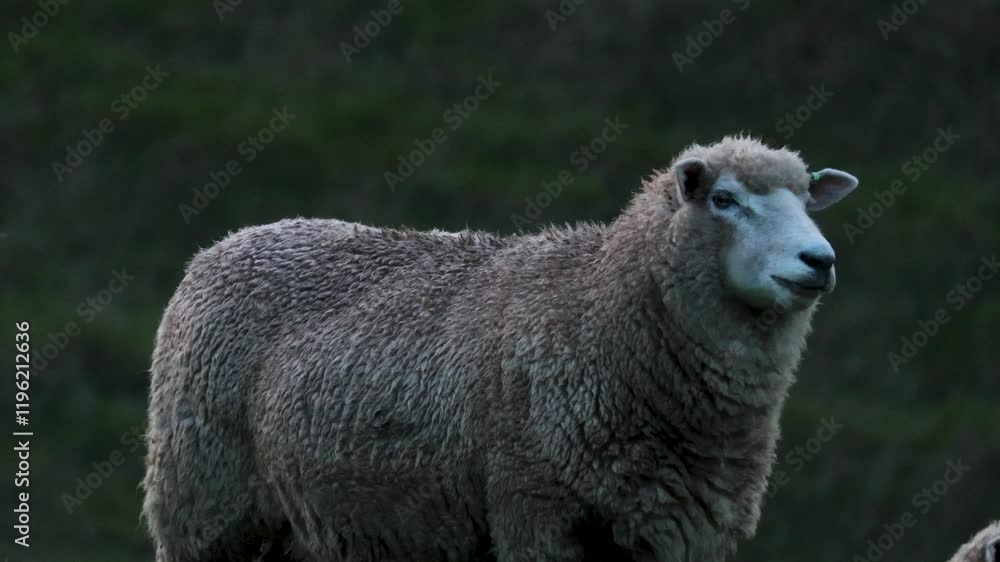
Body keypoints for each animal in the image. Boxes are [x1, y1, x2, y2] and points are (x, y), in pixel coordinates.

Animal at [142, 135, 858, 562]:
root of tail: (227, 241)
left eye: (806, 198)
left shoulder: (678, 533)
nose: (819, 261)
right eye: (725, 199)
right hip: (204, 507)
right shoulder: (536, 512)